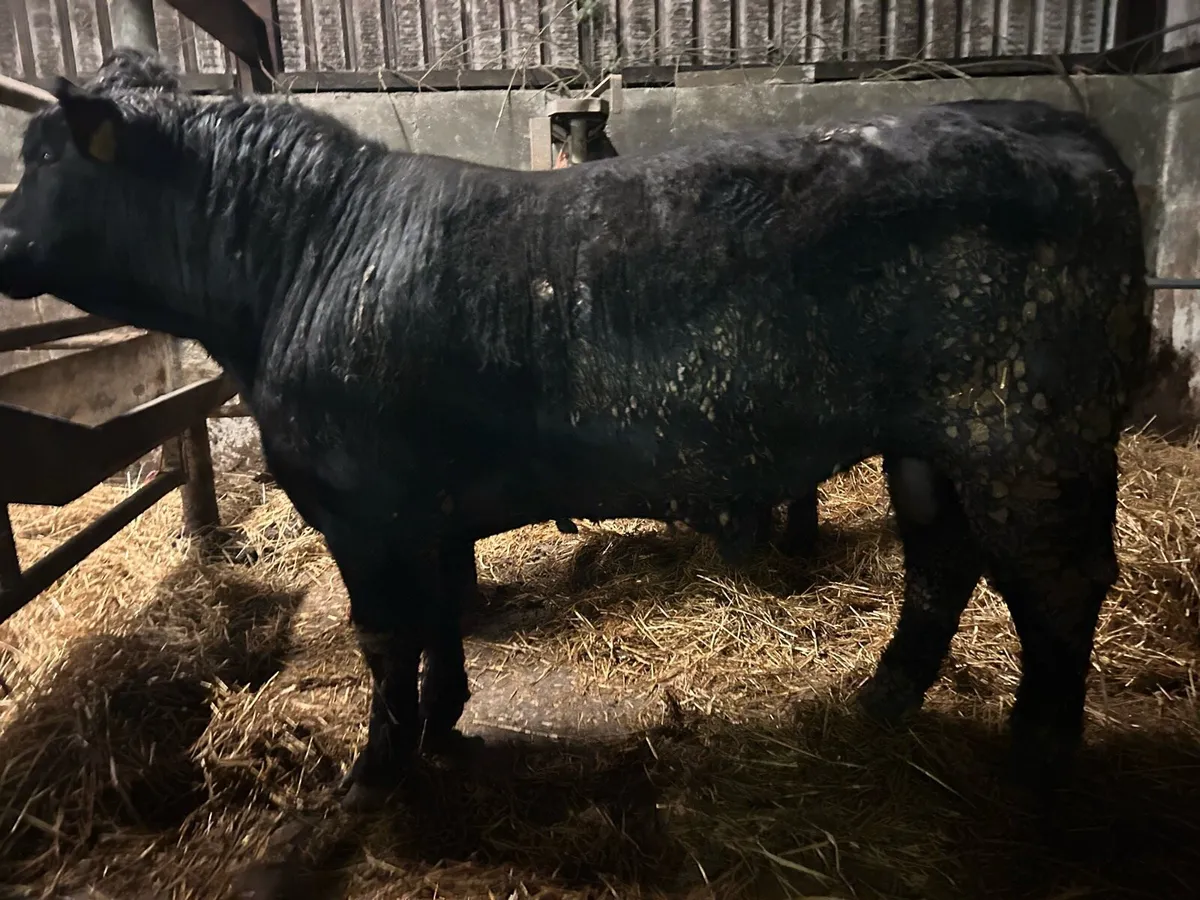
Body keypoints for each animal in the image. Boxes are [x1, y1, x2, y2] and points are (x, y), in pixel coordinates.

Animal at [0, 49, 1151, 811]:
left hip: (1027, 434)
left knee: (1057, 582)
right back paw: (885, 697)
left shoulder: (363, 506)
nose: (3, 240)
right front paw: (442, 721)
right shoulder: (424, 507)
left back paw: (1038, 756)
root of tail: (1048, 121)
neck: (306, 261)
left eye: (46, 156)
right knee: (942, 564)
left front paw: (373, 773)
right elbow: (441, 618)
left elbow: (386, 637)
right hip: (929, 443)